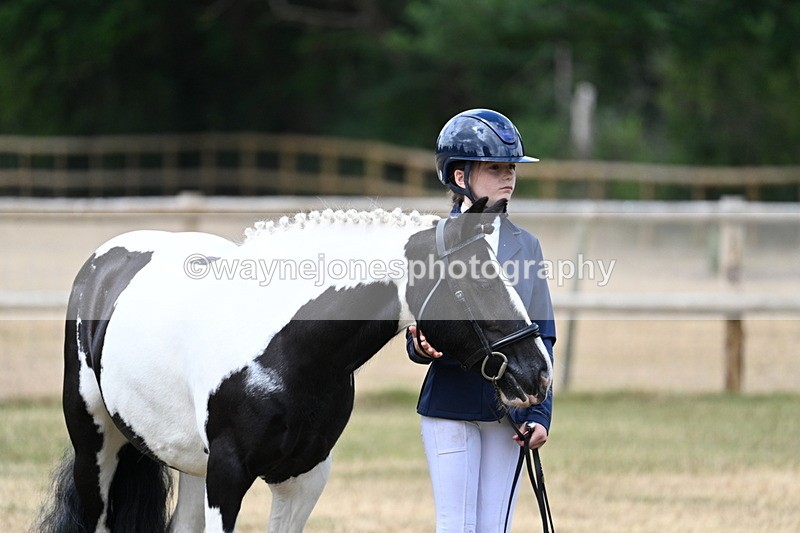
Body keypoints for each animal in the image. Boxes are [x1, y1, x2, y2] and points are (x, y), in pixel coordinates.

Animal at [36, 197, 552, 533]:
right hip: (96, 446)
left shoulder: (303, 478)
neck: (285, 350)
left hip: (187, 463)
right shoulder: (227, 477)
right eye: (475, 282)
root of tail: (103, 264)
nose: (538, 373)